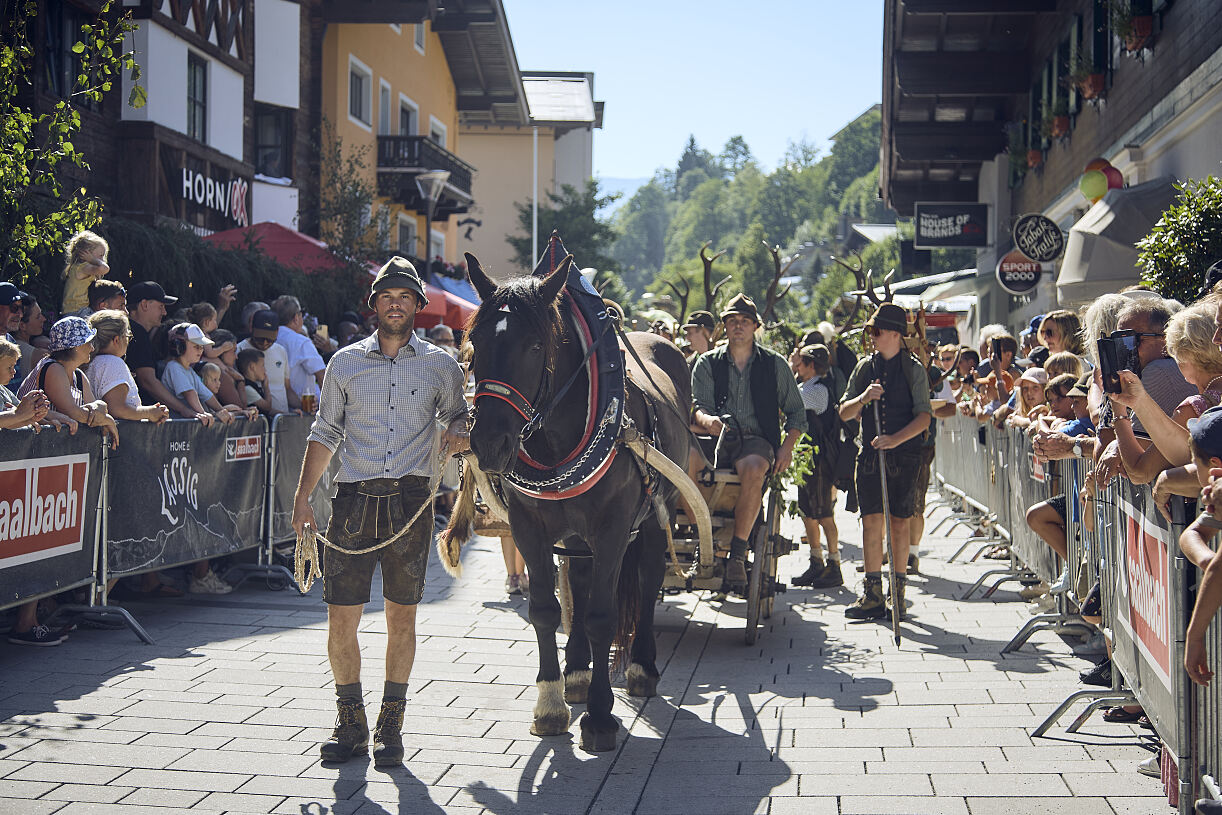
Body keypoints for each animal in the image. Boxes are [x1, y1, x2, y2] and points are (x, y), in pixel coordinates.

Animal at [459, 252, 694, 752]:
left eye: (534, 346)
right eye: (475, 344)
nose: (488, 442)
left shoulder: (614, 527)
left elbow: (604, 614)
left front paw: (601, 718)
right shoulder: (529, 527)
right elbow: (547, 610)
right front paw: (550, 704)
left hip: (653, 516)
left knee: (647, 580)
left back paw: (641, 668)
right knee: (580, 584)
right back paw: (579, 676)